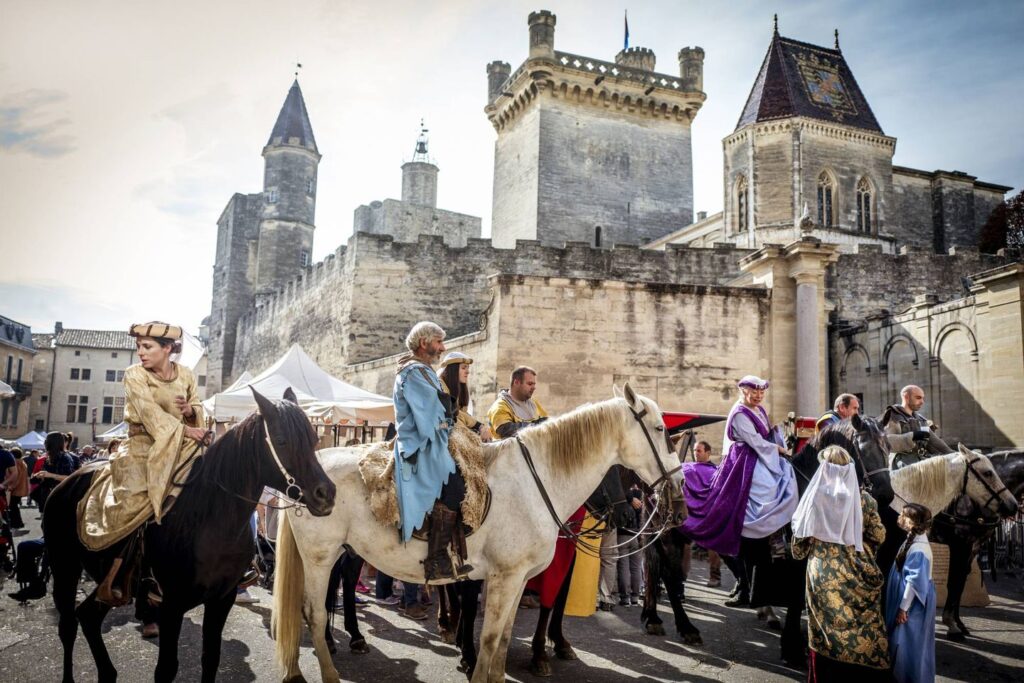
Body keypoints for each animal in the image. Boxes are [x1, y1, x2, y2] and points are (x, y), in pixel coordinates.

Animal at [46, 387, 333, 679]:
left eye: (313, 439)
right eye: (281, 440)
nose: (326, 494)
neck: (210, 521)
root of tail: (66, 483)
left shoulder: (222, 599)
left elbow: (211, 658)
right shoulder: (170, 603)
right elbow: (166, 668)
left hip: (110, 581)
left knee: (88, 617)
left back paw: (108, 672)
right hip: (65, 567)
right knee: (68, 626)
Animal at [272, 385, 679, 683]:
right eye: (661, 430)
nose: (676, 487)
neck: (535, 482)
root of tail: (305, 473)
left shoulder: (518, 579)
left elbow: (503, 637)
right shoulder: (501, 576)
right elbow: (487, 636)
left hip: (343, 551)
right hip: (319, 555)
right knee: (313, 610)